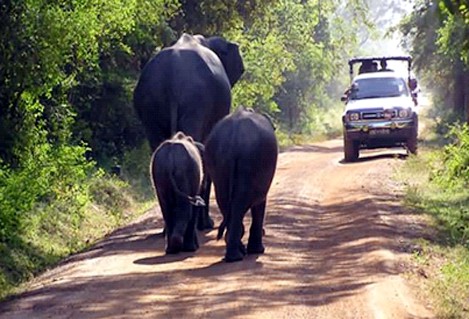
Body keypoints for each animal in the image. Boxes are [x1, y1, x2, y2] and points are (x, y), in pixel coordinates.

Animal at [205, 107, 278, 262]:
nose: (265, 232)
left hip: (219, 164)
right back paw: (236, 256)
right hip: (250, 162)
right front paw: (257, 251)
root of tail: (234, 140)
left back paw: (235, 253)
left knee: (225, 202)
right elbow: (260, 204)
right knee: (238, 204)